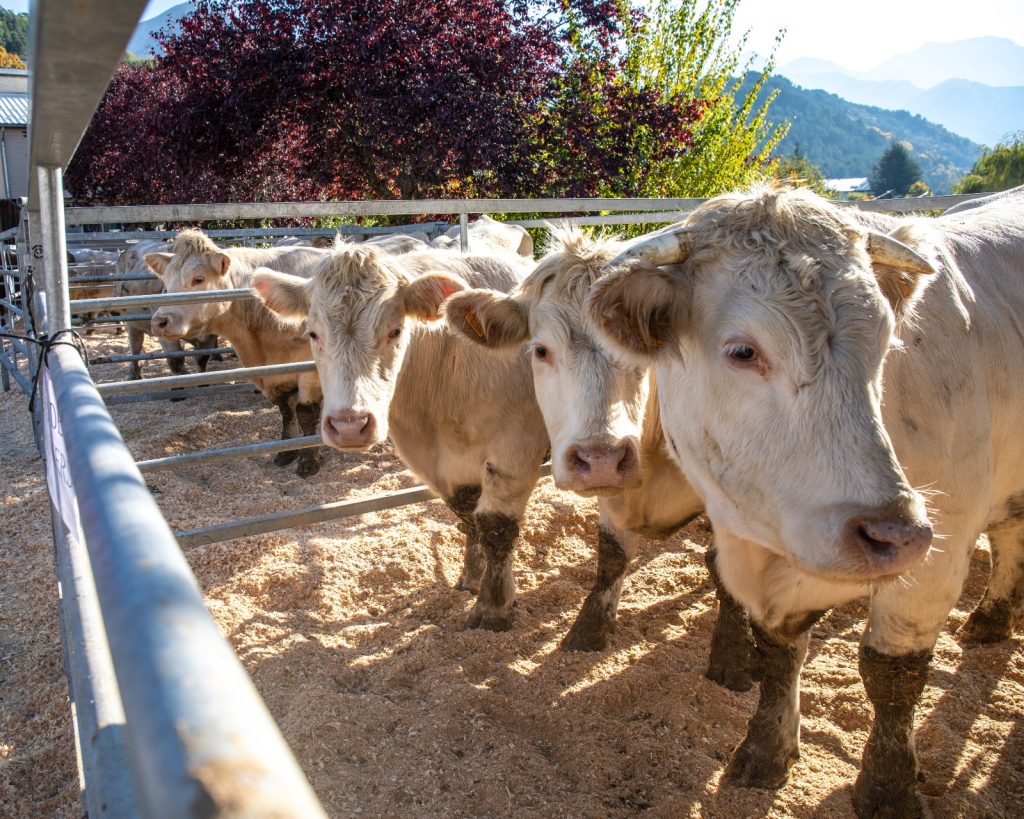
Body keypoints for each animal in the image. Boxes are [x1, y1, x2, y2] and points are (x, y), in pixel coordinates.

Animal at [585, 185, 1024, 818]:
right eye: (743, 351)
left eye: (886, 343)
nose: (894, 534)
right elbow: (778, 653)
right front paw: (767, 750)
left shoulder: (938, 555)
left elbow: (893, 674)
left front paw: (889, 787)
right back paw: (992, 619)